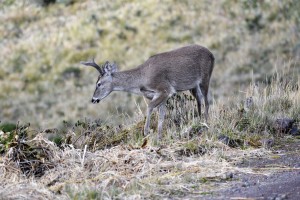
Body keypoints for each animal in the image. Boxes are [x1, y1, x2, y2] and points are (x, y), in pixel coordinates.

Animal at [81, 44, 214, 138]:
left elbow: (150, 107)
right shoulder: (159, 95)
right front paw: (159, 136)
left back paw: (206, 122)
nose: (93, 99)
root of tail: (211, 54)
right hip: (193, 86)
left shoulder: (165, 89)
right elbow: (161, 115)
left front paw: (146, 131)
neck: (141, 79)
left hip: (205, 77)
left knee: (207, 101)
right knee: (199, 99)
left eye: (98, 84)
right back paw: (199, 120)